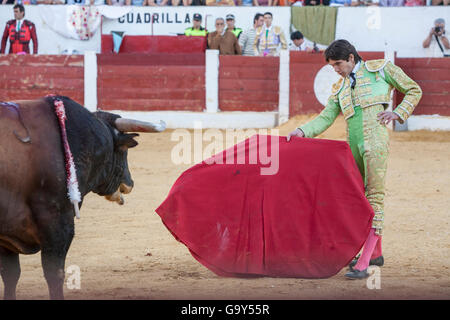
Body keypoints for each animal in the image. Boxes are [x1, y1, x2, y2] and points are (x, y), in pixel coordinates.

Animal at [0, 95, 165, 300]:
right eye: (123, 151)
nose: (130, 183)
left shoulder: (7, 237)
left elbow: (10, 275)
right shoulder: (57, 224)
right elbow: (54, 274)